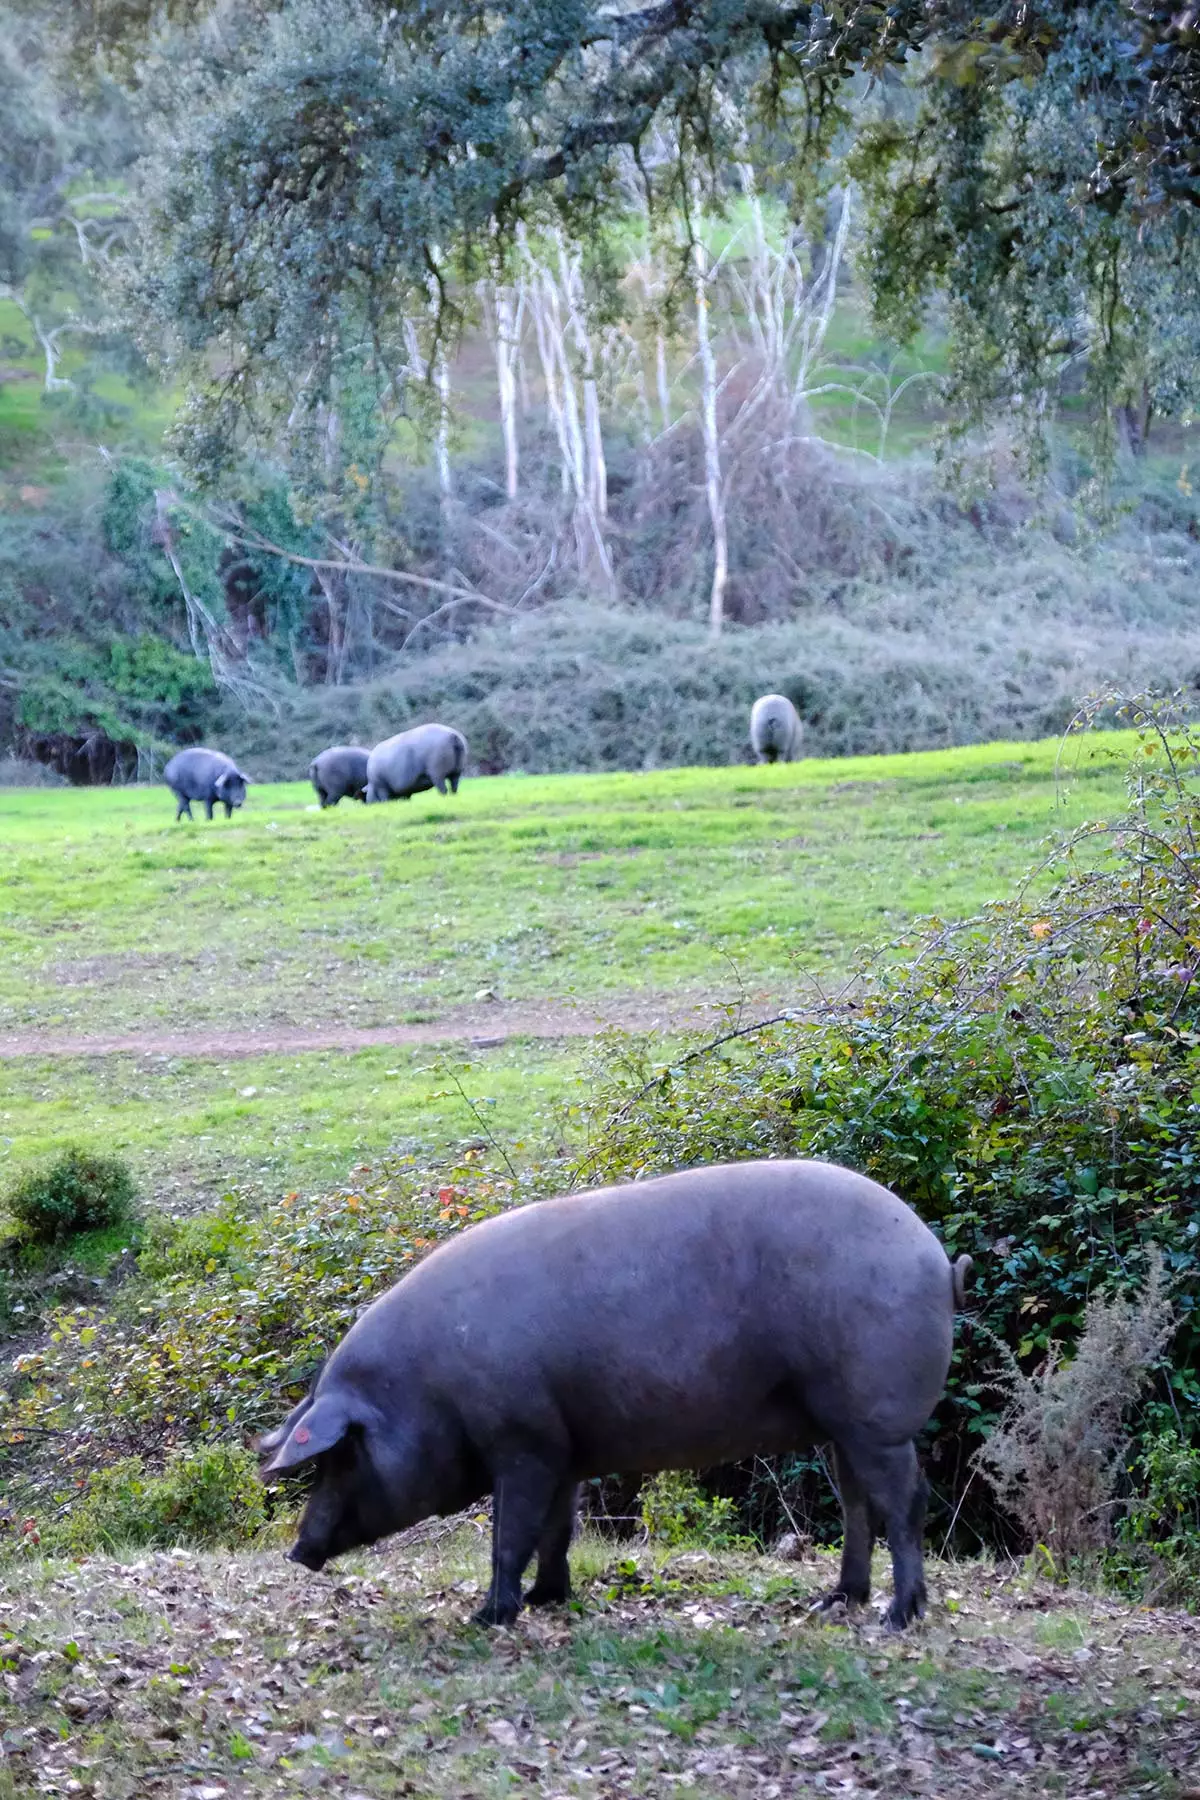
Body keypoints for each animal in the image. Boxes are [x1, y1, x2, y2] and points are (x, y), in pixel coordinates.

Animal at [259, 1159, 971, 1641]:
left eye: (341, 1456)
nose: (297, 1550)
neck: (426, 1388)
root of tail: (936, 1260)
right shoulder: (563, 1447)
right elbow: (557, 1531)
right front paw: (548, 1601)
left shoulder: (522, 1442)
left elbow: (511, 1534)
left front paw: (487, 1617)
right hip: (843, 1423)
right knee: (857, 1506)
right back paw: (833, 1602)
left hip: (878, 1414)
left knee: (904, 1505)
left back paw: (897, 1618)